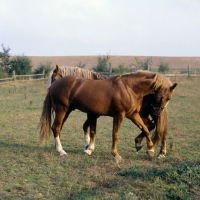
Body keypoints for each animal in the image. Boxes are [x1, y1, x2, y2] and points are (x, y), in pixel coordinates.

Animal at [39, 70, 177, 161]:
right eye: (165, 97)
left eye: (169, 98)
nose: (158, 112)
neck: (130, 88)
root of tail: (54, 84)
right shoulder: (119, 116)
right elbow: (115, 134)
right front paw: (115, 155)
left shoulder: (132, 114)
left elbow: (146, 129)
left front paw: (150, 150)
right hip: (62, 109)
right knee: (56, 127)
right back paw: (61, 151)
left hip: (66, 111)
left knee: (58, 128)